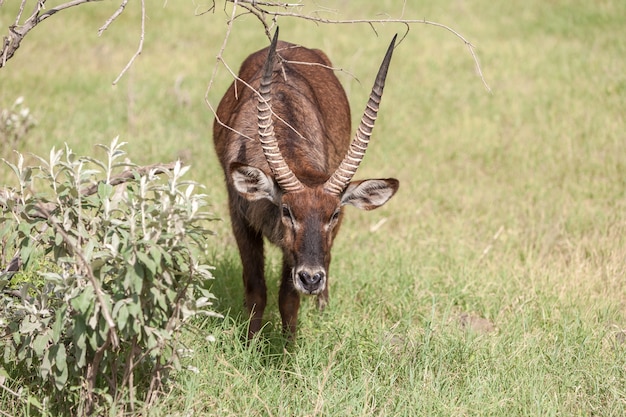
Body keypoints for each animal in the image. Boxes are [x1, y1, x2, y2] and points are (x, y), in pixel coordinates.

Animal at [212, 28, 398, 338]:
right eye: (287, 211)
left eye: (332, 214)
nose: (311, 278)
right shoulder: (240, 217)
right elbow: (256, 290)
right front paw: (251, 343)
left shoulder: (298, 252)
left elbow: (288, 300)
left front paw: (287, 348)